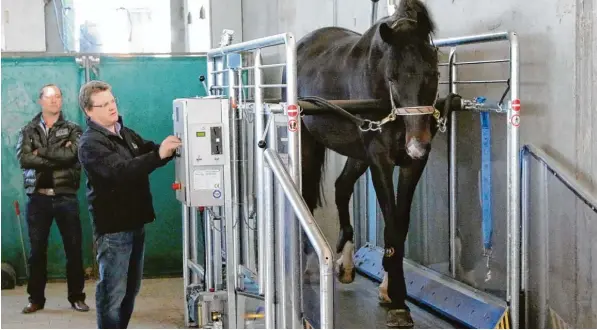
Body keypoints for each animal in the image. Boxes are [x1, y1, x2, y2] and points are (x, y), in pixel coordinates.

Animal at [288, 0, 442, 326]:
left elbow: (400, 225)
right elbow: (392, 227)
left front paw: (389, 289)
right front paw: (398, 300)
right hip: (310, 145)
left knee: (341, 187)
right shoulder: (380, 161)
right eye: (393, 77)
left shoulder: (411, 165)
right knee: (308, 195)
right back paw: (309, 266)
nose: (417, 145)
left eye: (432, 73)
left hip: (357, 154)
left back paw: (346, 263)